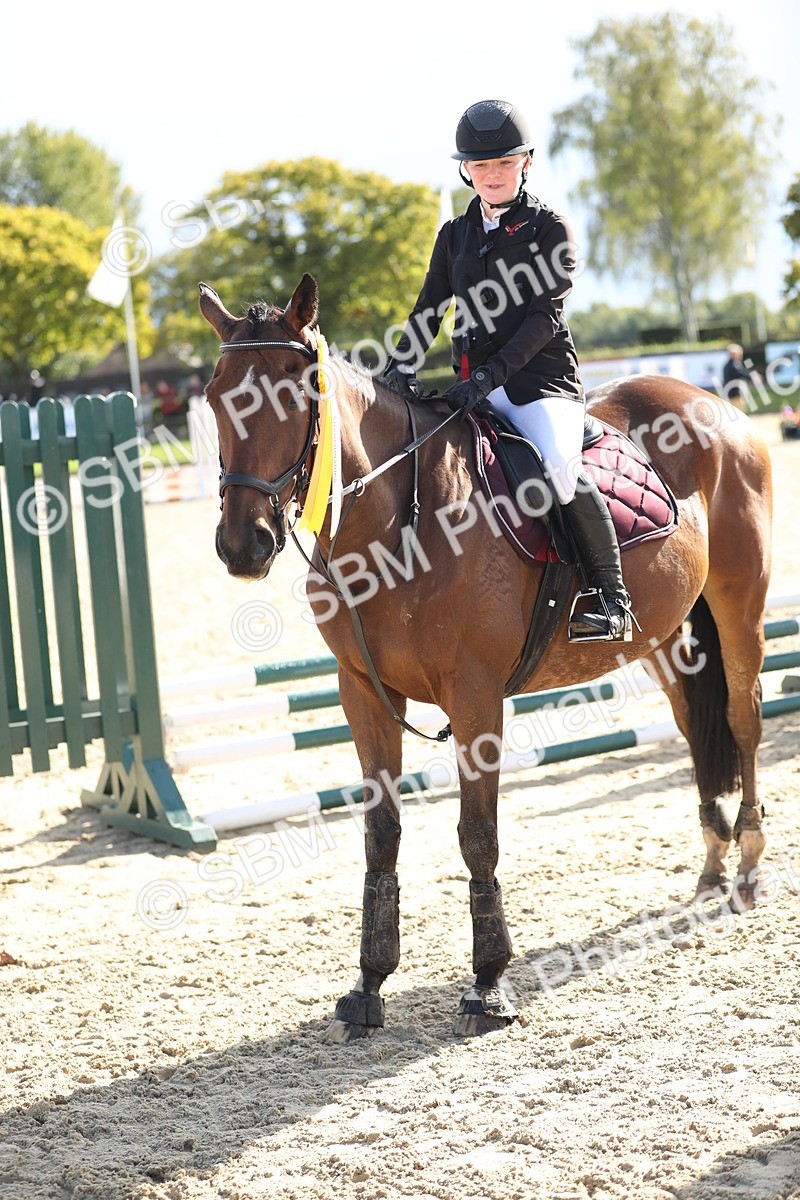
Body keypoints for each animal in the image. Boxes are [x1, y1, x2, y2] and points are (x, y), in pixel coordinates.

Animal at [199, 273, 773, 1041]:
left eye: (296, 392)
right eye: (214, 396)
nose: (243, 545)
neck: (401, 517)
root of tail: (715, 403)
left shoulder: (475, 698)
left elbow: (478, 837)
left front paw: (489, 984)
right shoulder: (363, 694)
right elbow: (381, 834)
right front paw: (369, 985)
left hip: (740, 609)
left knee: (743, 721)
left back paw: (746, 863)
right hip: (664, 636)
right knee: (694, 727)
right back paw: (711, 864)